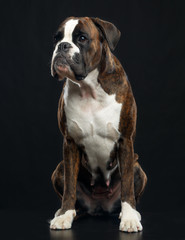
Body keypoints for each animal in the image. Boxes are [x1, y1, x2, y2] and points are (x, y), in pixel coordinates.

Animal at [49, 16, 147, 232]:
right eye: (57, 38)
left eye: (82, 38)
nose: (62, 46)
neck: (89, 89)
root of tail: (99, 208)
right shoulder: (69, 144)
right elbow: (69, 187)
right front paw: (65, 214)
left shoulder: (125, 141)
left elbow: (127, 187)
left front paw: (129, 218)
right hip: (59, 169)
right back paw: (66, 212)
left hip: (137, 166)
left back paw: (131, 213)